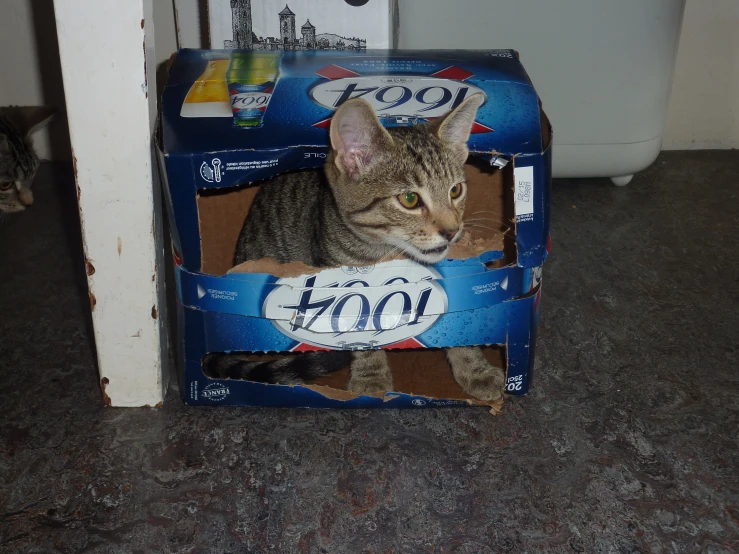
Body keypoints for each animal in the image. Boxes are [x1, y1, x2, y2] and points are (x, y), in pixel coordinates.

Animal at [205, 92, 506, 398]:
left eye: (455, 190)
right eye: (409, 199)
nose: (452, 231)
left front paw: (475, 369)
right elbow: (358, 326)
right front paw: (370, 377)